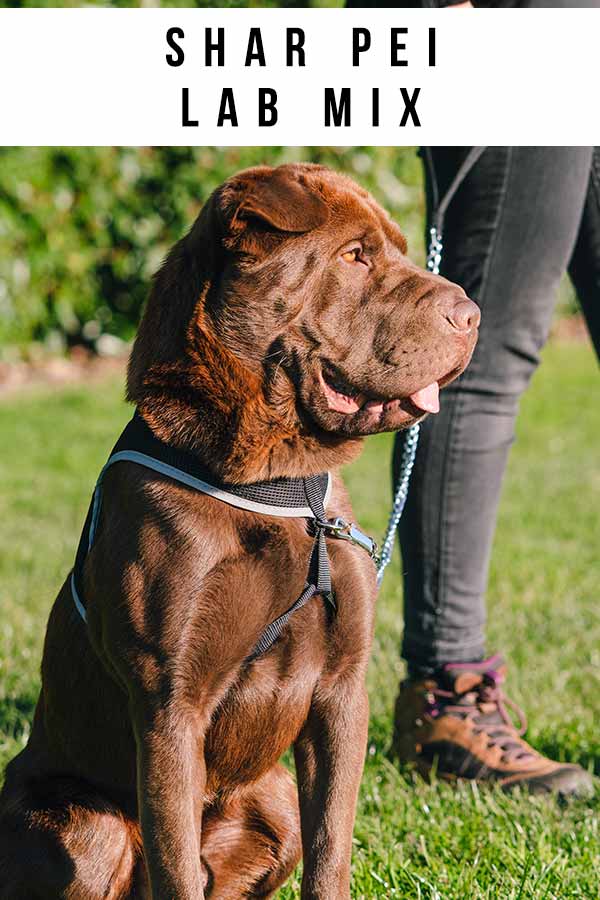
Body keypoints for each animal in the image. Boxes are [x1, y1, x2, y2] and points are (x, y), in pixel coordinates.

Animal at [0, 163, 478, 900]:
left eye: (400, 251)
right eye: (354, 256)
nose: (472, 314)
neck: (273, 480)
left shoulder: (343, 689)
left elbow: (331, 847)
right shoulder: (170, 705)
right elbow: (174, 865)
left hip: (273, 795)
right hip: (85, 825)